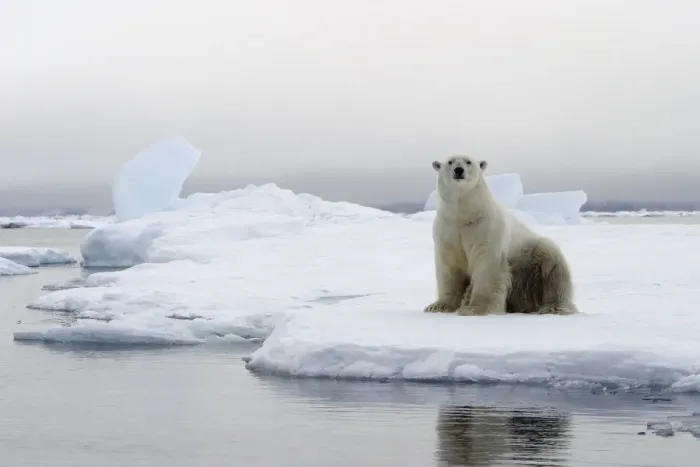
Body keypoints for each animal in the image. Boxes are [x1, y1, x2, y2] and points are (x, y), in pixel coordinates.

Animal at [423, 154, 579, 316]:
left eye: (468, 162)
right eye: (450, 162)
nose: (459, 170)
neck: (465, 215)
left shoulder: (485, 229)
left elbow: (486, 265)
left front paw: (475, 308)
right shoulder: (448, 230)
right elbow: (449, 267)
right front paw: (439, 306)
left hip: (531, 257)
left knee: (554, 272)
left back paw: (553, 307)